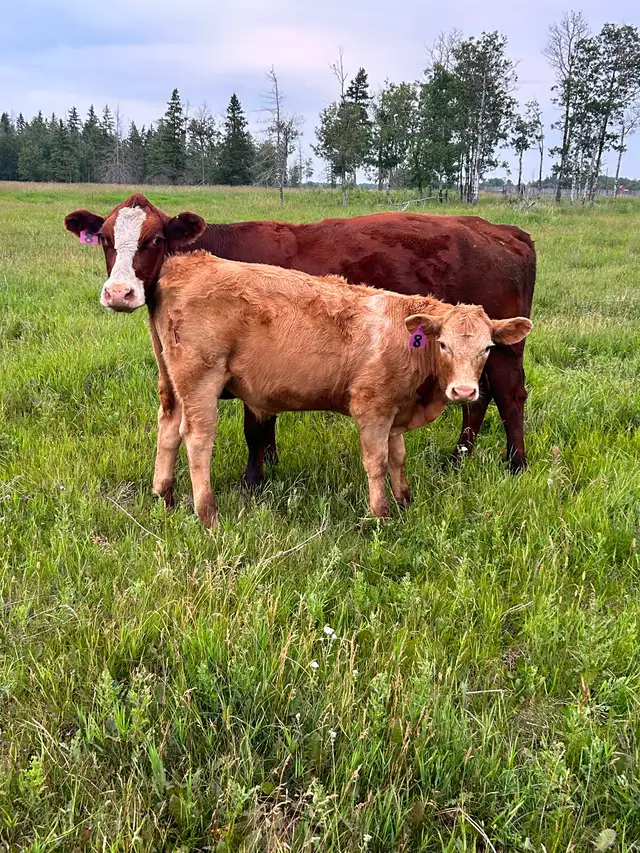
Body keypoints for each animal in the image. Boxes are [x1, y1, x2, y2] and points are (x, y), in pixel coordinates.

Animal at [64, 193, 536, 495]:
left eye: (155, 239)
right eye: (106, 239)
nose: (119, 292)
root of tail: (501, 229)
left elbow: (255, 429)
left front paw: (253, 482)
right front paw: (270, 465)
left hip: (501, 348)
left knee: (510, 396)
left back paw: (516, 464)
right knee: (478, 398)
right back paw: (459, 457)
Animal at [148, 252, 531, 525]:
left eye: (487, 348)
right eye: (443, 345)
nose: (464, 392)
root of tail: (186, 262)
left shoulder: (395, 410)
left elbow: (398, 457)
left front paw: (405, 501)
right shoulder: (372, 408)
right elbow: (377, 461)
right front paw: (380, 514)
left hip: (173, 382)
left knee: (168, 428)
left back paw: (164, 497)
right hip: (201, 379)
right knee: (197, 439)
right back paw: (207, 513)